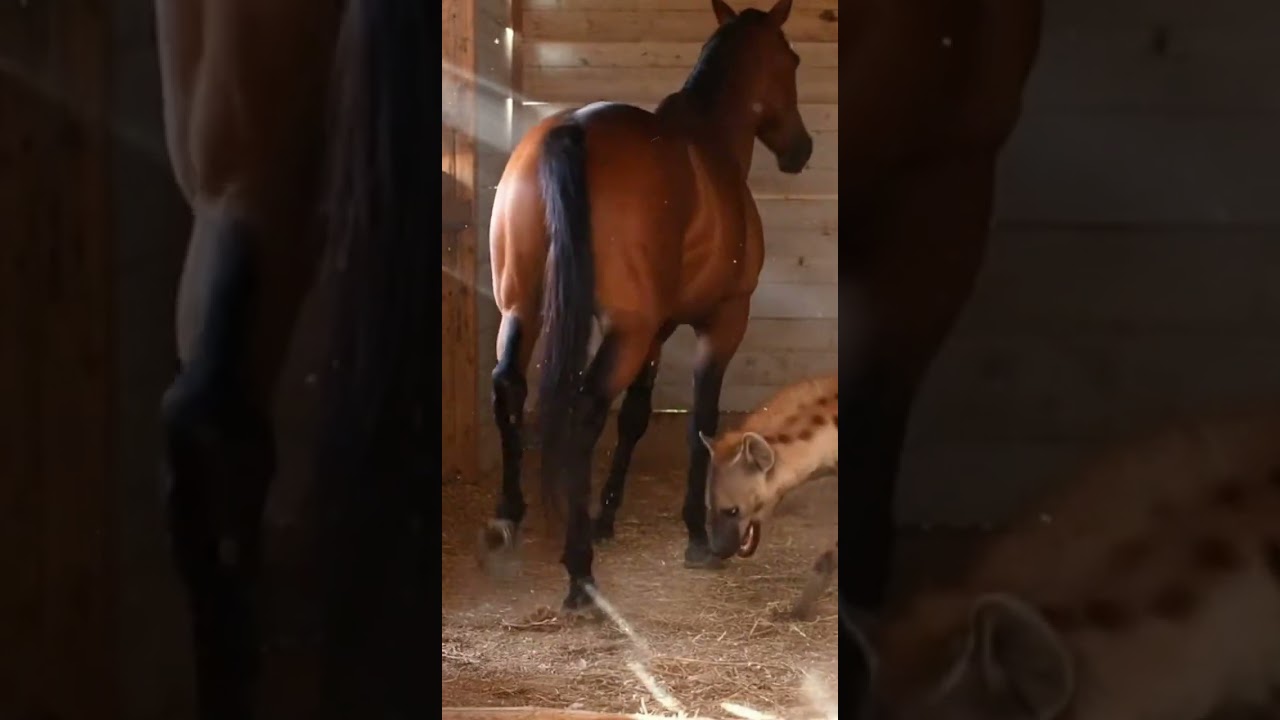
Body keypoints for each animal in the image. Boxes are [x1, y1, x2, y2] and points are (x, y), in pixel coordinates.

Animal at [482, 0, 814, 613]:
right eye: (792, 60)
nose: (800, 149)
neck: (711, 142)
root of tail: (573, 129)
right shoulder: (721, 322)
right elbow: (702, 421)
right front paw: (698, 534)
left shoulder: (657, 330)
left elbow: (636, 416)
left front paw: (608, 516)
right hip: (624, 332)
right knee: (586, 409)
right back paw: (579, 570)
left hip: (522, 310)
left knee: (509, 386)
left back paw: (509, 517)